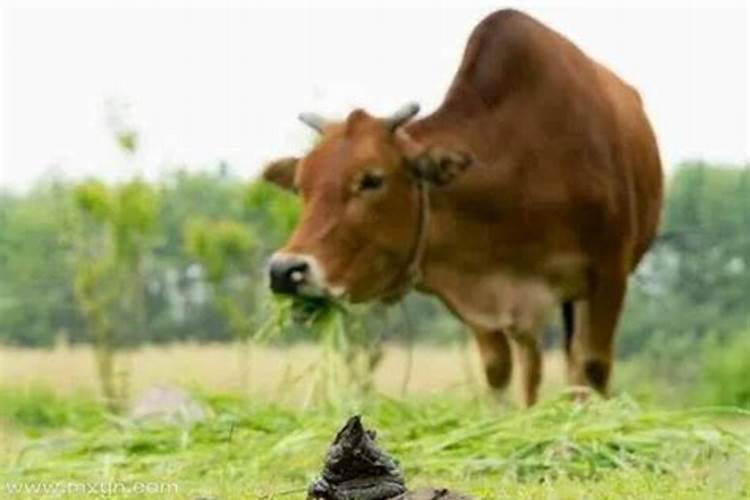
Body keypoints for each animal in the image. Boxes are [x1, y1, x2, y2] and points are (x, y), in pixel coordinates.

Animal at [262, 8, 664, 406]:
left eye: (372, 179)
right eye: (301, 185)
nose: (285, 271)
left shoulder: (609, 273)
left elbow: (592, 368)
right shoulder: (480, 298)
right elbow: (499, 371)